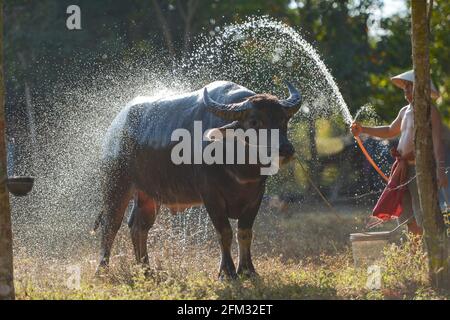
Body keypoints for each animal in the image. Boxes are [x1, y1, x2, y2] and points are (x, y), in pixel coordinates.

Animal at [94, 80, 302, 278]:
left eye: (283, 120)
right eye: (254, 121)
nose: (285, 149)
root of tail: (113, 131)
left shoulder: (256, 195)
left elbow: (245, 233)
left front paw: (247, 271)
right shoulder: (211, 195)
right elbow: (225, 233)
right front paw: (227, 273)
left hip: (148, 195)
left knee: (139, 226)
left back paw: (145, 270)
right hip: (115, 185)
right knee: (111, 226)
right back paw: (102, 271)